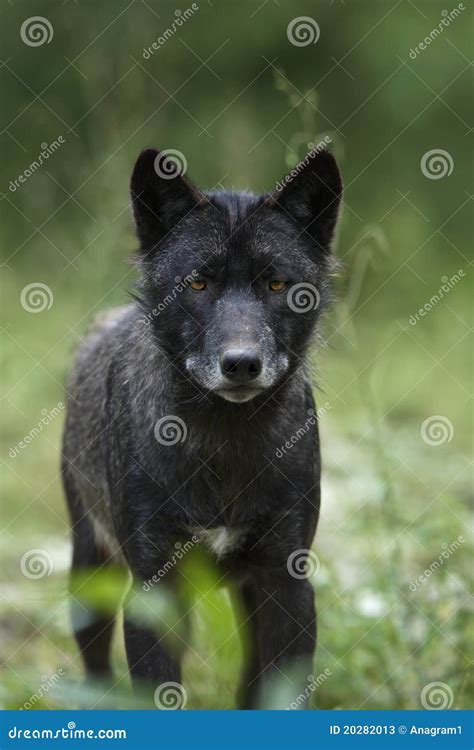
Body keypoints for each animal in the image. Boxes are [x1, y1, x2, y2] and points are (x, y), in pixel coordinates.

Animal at [62, 146, 342, 708]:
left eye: (276, 284)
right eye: (197, 283)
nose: (241, 364)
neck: (225, 445)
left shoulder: (286, 588)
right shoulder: (153, 590)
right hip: (90, 576)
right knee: (96, 667)